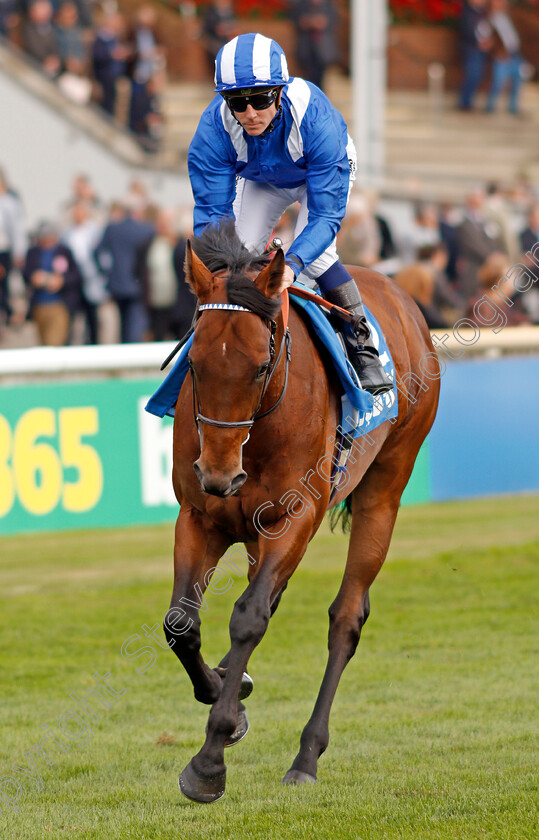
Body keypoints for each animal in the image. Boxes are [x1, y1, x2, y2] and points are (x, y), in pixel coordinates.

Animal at [162, 220, 440, 804]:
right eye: (194, 364)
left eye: (260, 366)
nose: (219, 476)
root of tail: (402, 293)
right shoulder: (201, 517)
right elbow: (181, 623)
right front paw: (226, 688)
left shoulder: (293, 518)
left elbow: (248, 618)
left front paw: (209, 761)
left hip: (386, 484)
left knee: (346, 617)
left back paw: (306, 755)